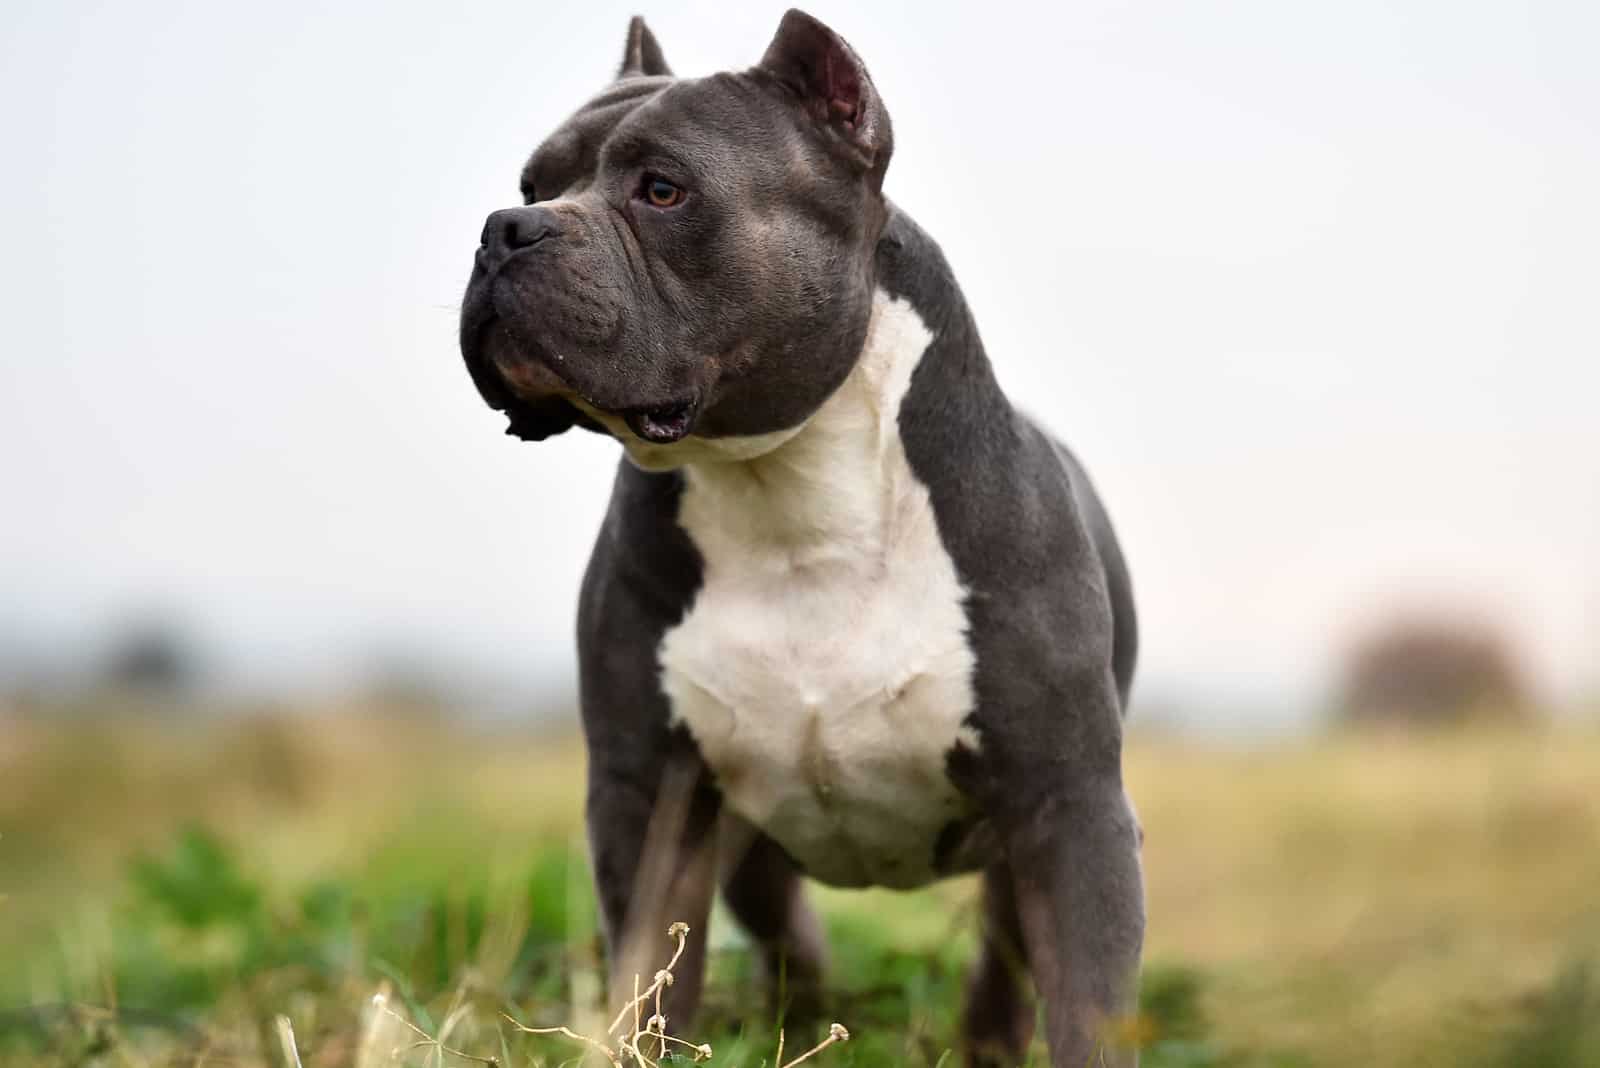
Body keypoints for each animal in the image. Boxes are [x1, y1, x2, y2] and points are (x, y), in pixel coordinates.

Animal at [457, 10, 1145, 1068]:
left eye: (663, 189)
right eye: (534, 184)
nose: (504, 230)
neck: (788, 492)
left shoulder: (1069, 807)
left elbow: (1087, 1004)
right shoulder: (647, 792)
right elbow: (651, 974)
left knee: (1001, 958)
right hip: (749, 859)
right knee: (790, 940)